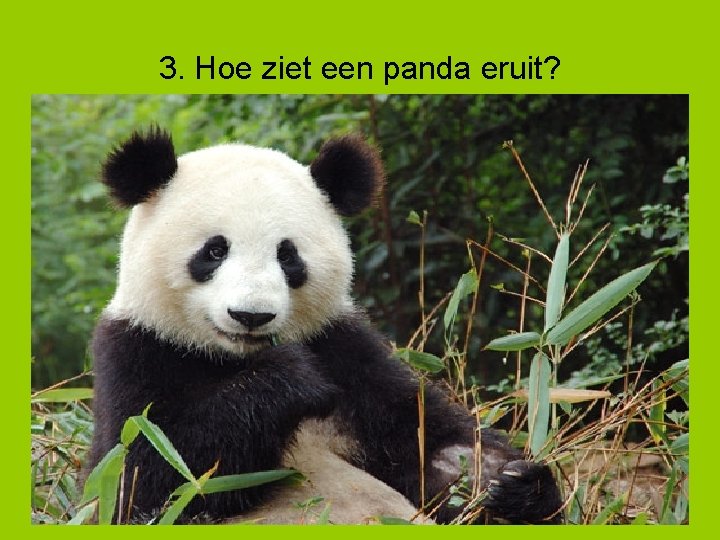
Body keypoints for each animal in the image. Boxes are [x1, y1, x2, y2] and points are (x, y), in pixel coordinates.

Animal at [85, 127, 563, 524]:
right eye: (214, 251)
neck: (234, 359)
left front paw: (512, 484)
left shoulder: (348, 352)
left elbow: (434, 450)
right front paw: (292, 379)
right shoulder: (137, 351)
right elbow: (147, 479)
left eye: (288, 255)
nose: (251, 316)